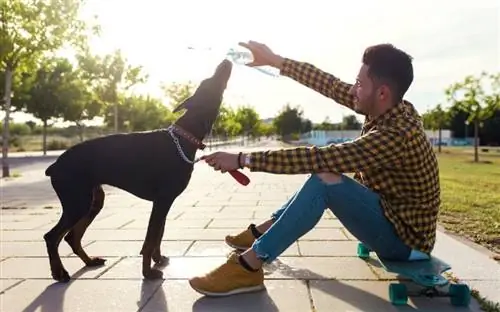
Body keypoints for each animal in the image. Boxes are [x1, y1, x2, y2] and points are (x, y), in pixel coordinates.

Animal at [42, 58, 232, 282]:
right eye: (210, 81)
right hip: (77, 202)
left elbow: (159, 233)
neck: (183, 138)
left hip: (93, 201)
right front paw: (148, 272)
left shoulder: (164, 202)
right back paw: (59, 272)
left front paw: (158, 259)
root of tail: (54, 166)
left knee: (72, 236)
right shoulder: (162, 200)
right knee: (52, 236)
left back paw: (89, 262)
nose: (225, 62)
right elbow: (150, 238)